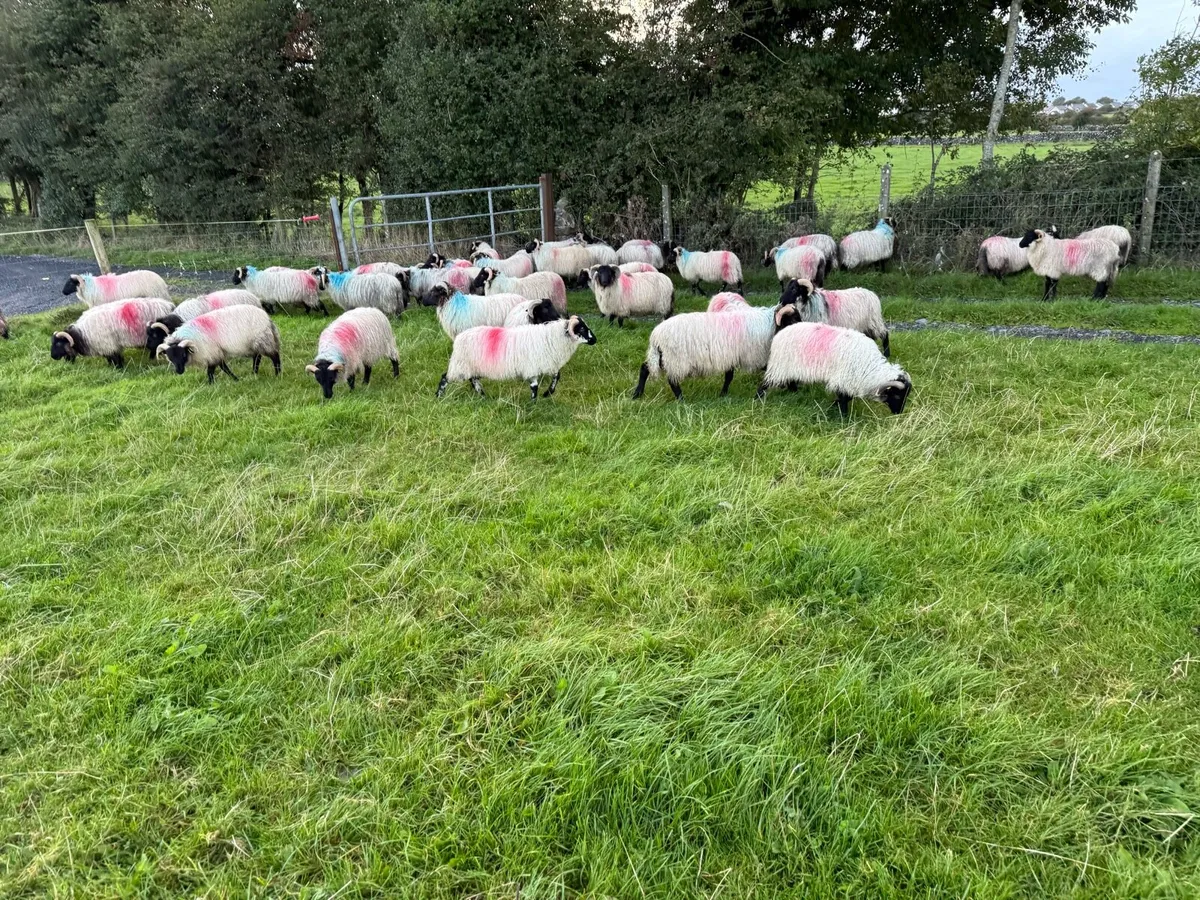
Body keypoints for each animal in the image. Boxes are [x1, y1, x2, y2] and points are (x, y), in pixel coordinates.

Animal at [436, 315, 597, 402]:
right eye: (582, 328)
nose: (595, 340)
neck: (553, 337)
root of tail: (459, 337)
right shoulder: (532, 367)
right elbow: (534, 386)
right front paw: (533, 403)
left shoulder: (547, 363)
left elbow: (557, 376)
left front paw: (548, 393)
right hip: (460, 365)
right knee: (445, 377)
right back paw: (439, 396)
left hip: (471, 366)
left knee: (473, 379)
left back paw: (482, 395)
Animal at [632, 299, 781, 401]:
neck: (769, 324)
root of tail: (656, 336)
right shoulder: (755, 356)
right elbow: (769, 371)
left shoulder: (730, 357)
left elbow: (729, 376)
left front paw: (723, 394)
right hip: (675, 358)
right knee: (672, 380)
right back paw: (681, 400)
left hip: (664, 357)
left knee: (645, 367)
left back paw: (637, 394)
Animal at [757, 310, 912, 417]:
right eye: (897, 396)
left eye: (906, 395)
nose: (899, 413)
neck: (869, 367)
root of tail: (783, 330)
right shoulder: (842, 378)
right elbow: (844, 399)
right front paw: (843, 417)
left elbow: (847, 398)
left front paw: (833, 405)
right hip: (779, 365)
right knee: (765, 383)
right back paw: (757, 399)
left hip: (791, 367)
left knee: (791, 381)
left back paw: (794, 393)